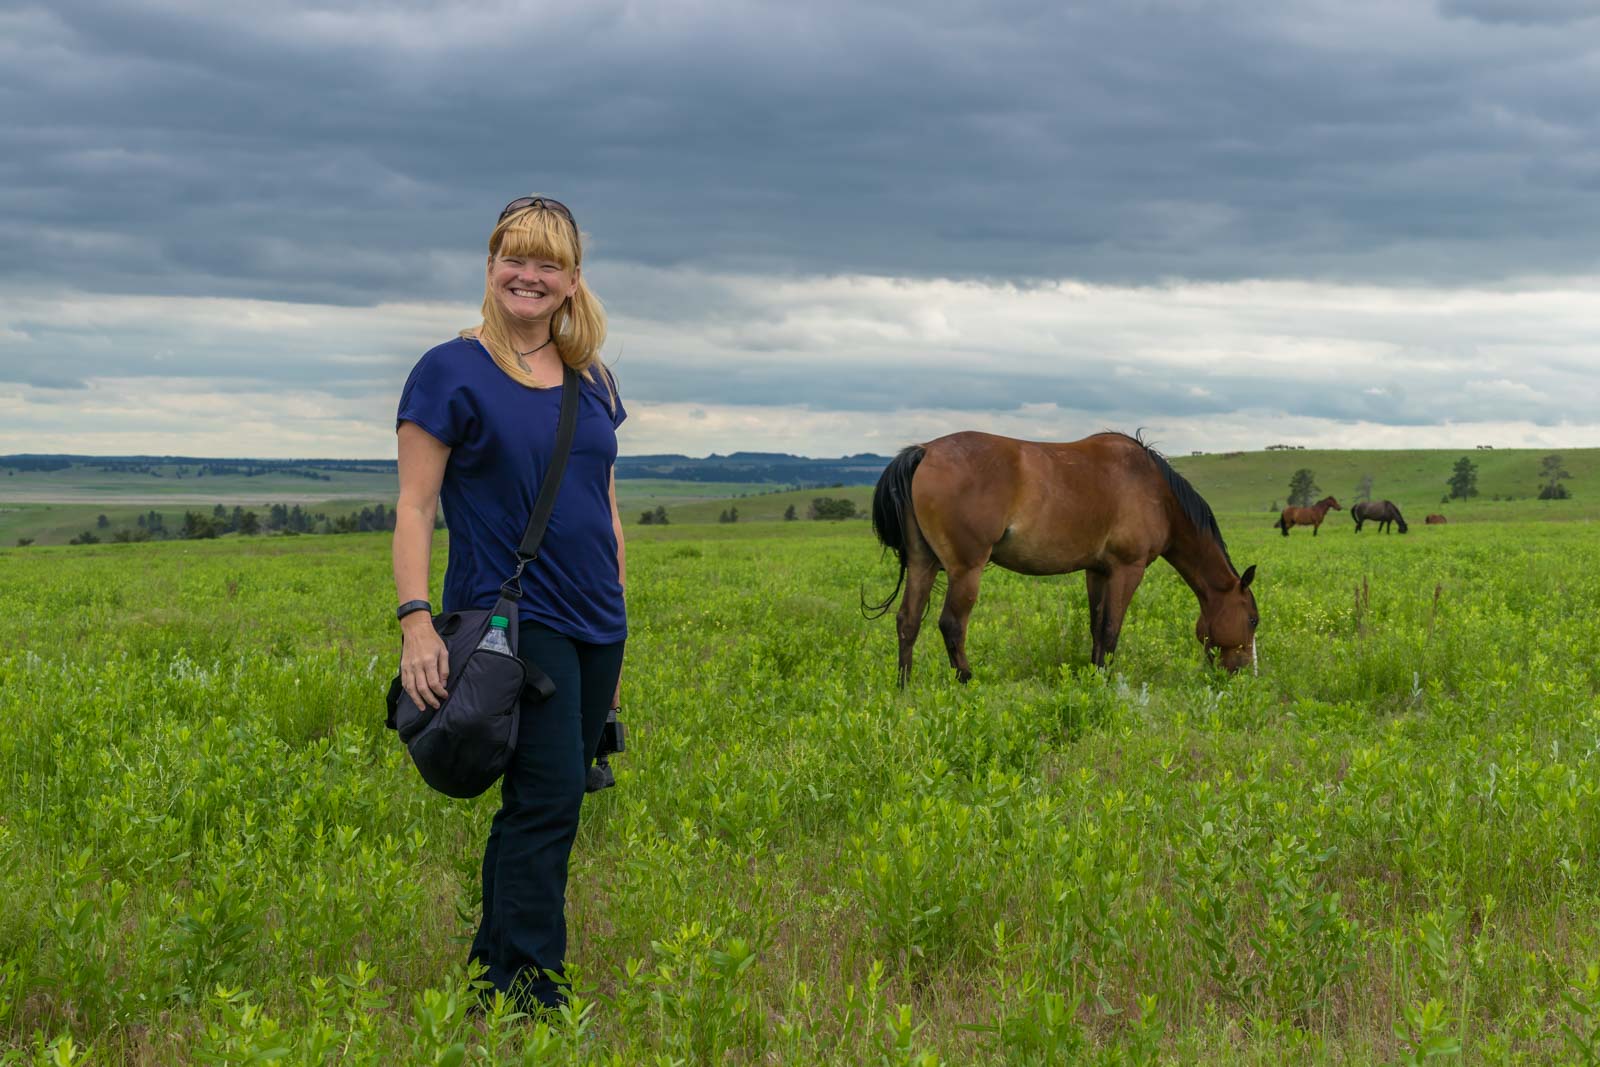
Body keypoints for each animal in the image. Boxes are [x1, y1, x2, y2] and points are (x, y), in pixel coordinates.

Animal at [870, 431, 1254, 684]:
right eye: (1252, 620)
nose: (1244, 673)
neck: (1156, 491)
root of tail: (925, 451)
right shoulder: (1127, 569)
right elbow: (1112, 629)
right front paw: (1106, 681)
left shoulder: (1097, 571)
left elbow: (1097, 626)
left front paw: (1094, 675)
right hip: (966, 570)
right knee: (951, 624)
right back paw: (965, 679)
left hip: (923, 564)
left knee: (908, 621)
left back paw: (904, 686)